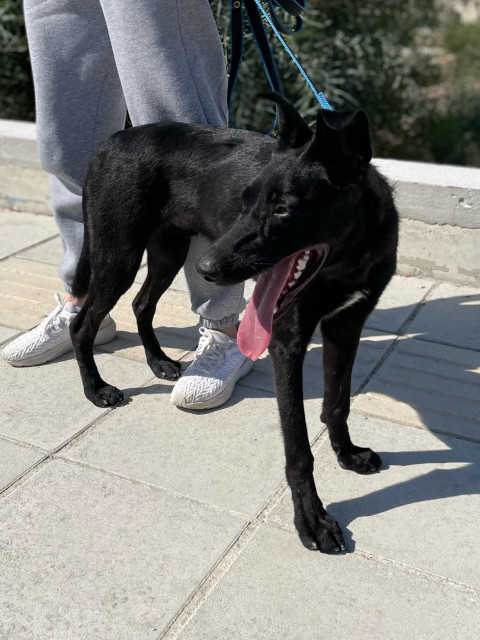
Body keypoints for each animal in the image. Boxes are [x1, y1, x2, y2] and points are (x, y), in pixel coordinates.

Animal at [70, 94, 398, 553]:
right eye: (244, 200)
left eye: (284, 209)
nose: (206, 269)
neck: (348, 260)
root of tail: (108, 142)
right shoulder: (286, 340)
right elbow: (297, 447)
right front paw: (311, 519)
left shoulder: (347, 325)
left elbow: (338, 403)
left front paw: (347, 454)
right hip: (119, 255)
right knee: (82, 324)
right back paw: (96, 389)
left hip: (168, 251)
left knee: (141, 303)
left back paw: (159, 362)